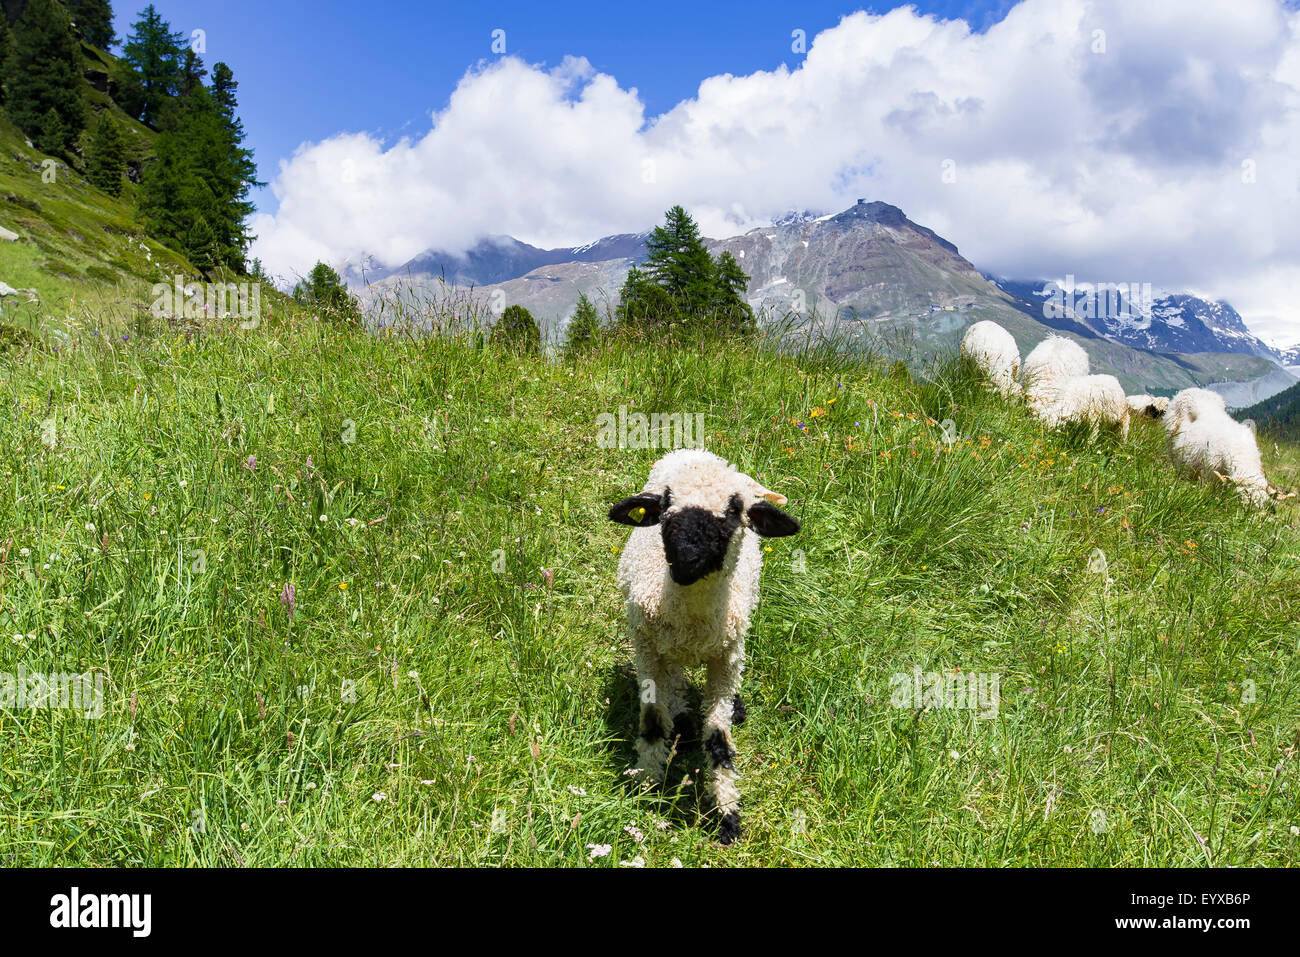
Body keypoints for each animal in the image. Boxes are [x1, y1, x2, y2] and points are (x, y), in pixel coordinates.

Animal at [608, 447, 800, 842]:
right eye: (666, 502)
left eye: (734, 508)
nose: (685, 561)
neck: (692, 618)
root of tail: (697, 451)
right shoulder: (647, 649)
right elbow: (653, 719)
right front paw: (647, 787)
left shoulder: (725, 659)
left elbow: (719, 738)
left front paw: (728, 816)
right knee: (675, 679)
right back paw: (681, 717)